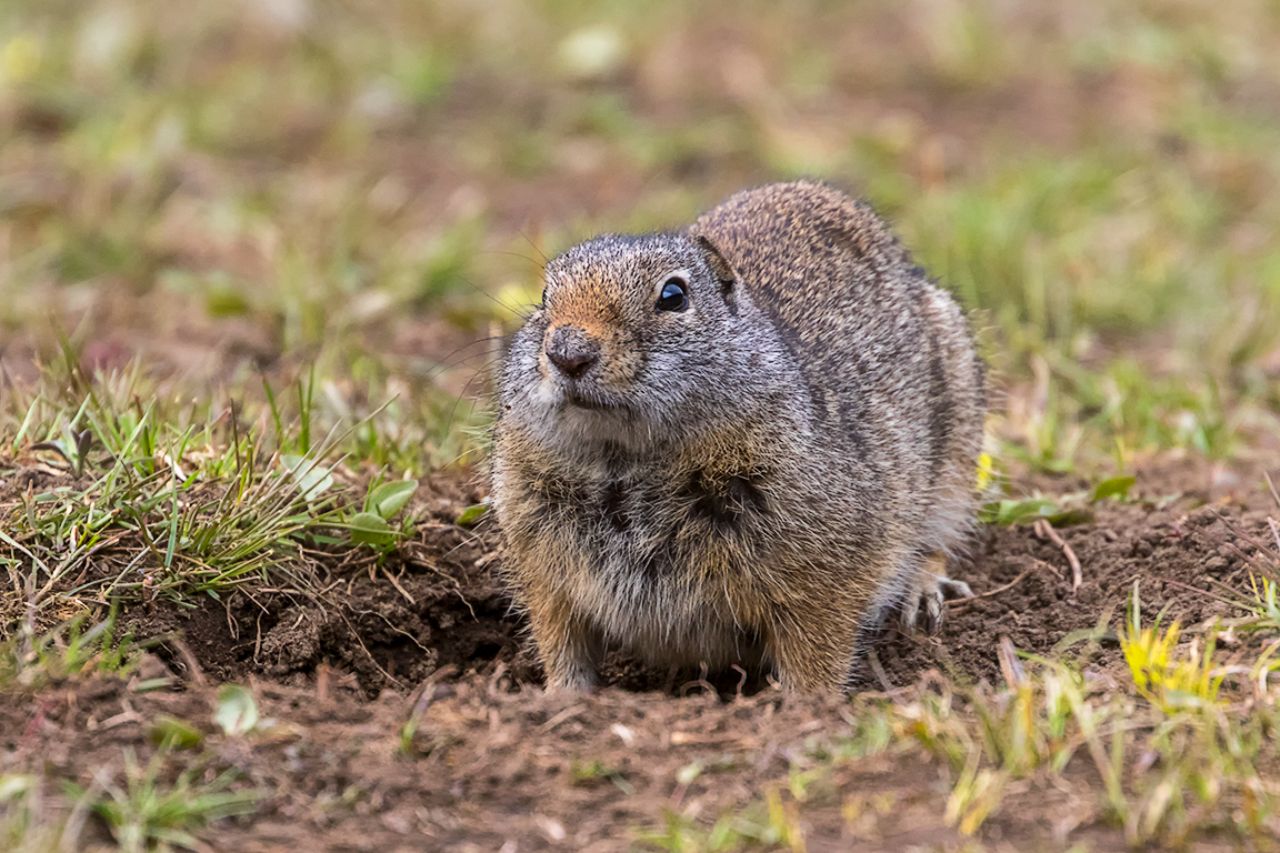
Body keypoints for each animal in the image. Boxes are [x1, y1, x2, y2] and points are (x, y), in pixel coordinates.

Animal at [490, 180, 986, 692]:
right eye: (544, 294)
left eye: (673, 295)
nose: (567, 353)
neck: (623, 463)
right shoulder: (541, 562)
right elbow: (561, 641)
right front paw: (562, 697)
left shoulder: (825, 573)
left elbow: (818, 651)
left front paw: (807, 704)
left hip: (955, 461)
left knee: (936, 542)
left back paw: (923, 596)